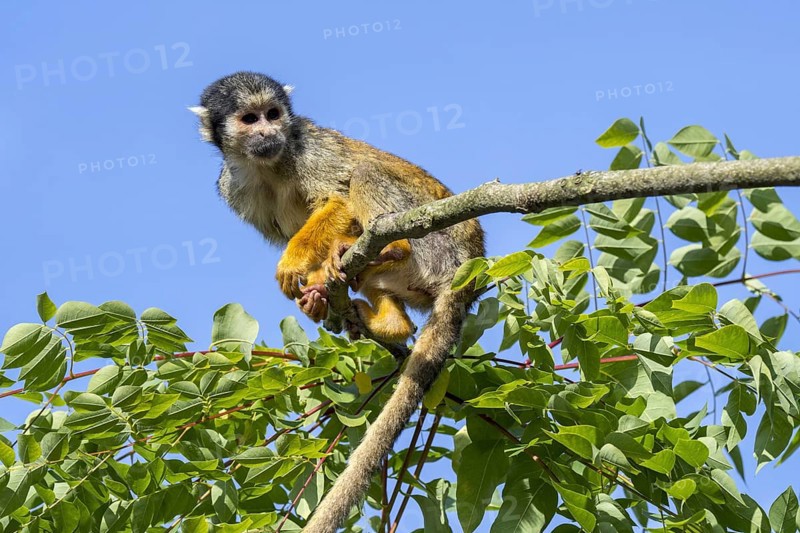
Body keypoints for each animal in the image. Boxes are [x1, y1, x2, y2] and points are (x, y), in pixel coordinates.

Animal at [191, 71, 485, 533]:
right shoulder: (232, 186)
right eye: (249, 119)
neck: (269, 164)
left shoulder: (309, 147)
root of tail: (469, 268)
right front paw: (315, 292)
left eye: (273, 114)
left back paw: (391, 247)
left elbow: (339, 197)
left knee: (364, 174)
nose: (269, 132)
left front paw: (295, 263)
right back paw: (384, 319)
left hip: (438, 244)